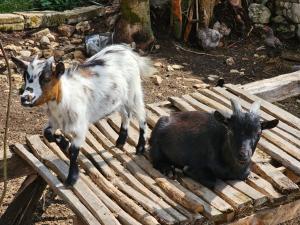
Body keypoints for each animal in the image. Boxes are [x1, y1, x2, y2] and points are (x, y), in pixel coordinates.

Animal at [11, 44, 154, 186]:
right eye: (24, 77)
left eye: (46, 78)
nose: (25, 98)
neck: (64, 98)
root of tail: (126, 50)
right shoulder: (54, 121)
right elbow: (47, 134)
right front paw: (64, 143)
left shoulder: (80, 127)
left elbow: (74, 152)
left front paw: (71, 179)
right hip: (120, 99)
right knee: (126, 114)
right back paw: (120, 141)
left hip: (134, 92)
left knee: (142, 116)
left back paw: (140, 147)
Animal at [149, 99, 278, 189]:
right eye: (231, 130)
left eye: (259, 132)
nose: (243, 155)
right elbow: (211, 181)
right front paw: (183, 170)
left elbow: (246, 174)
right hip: (156, 144)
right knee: (156, 160)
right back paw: (169, 171)